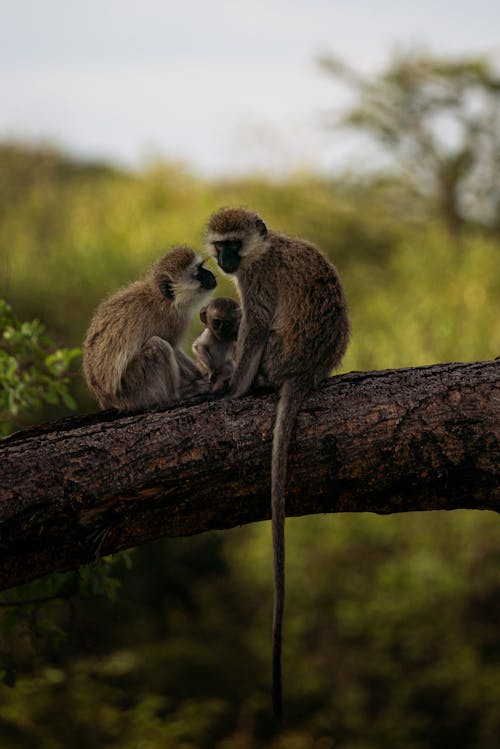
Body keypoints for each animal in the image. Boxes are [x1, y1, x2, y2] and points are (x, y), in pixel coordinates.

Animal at [83, 244, 216, 410]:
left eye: (201, 266)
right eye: (197, 273)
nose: (211, 274)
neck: (163, 299)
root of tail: (107, 400)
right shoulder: (172, 320)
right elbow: (173, 347)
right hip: (135, 390)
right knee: (157, 345)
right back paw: (177, 394)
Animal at [205, 205, 350, 720]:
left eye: (234, 244)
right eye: (219, 244)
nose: (224, 260)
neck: (263, 249)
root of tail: (304, 372)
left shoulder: (255, 280)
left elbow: (255, 327)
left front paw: (232, 392)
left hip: (278, 356)